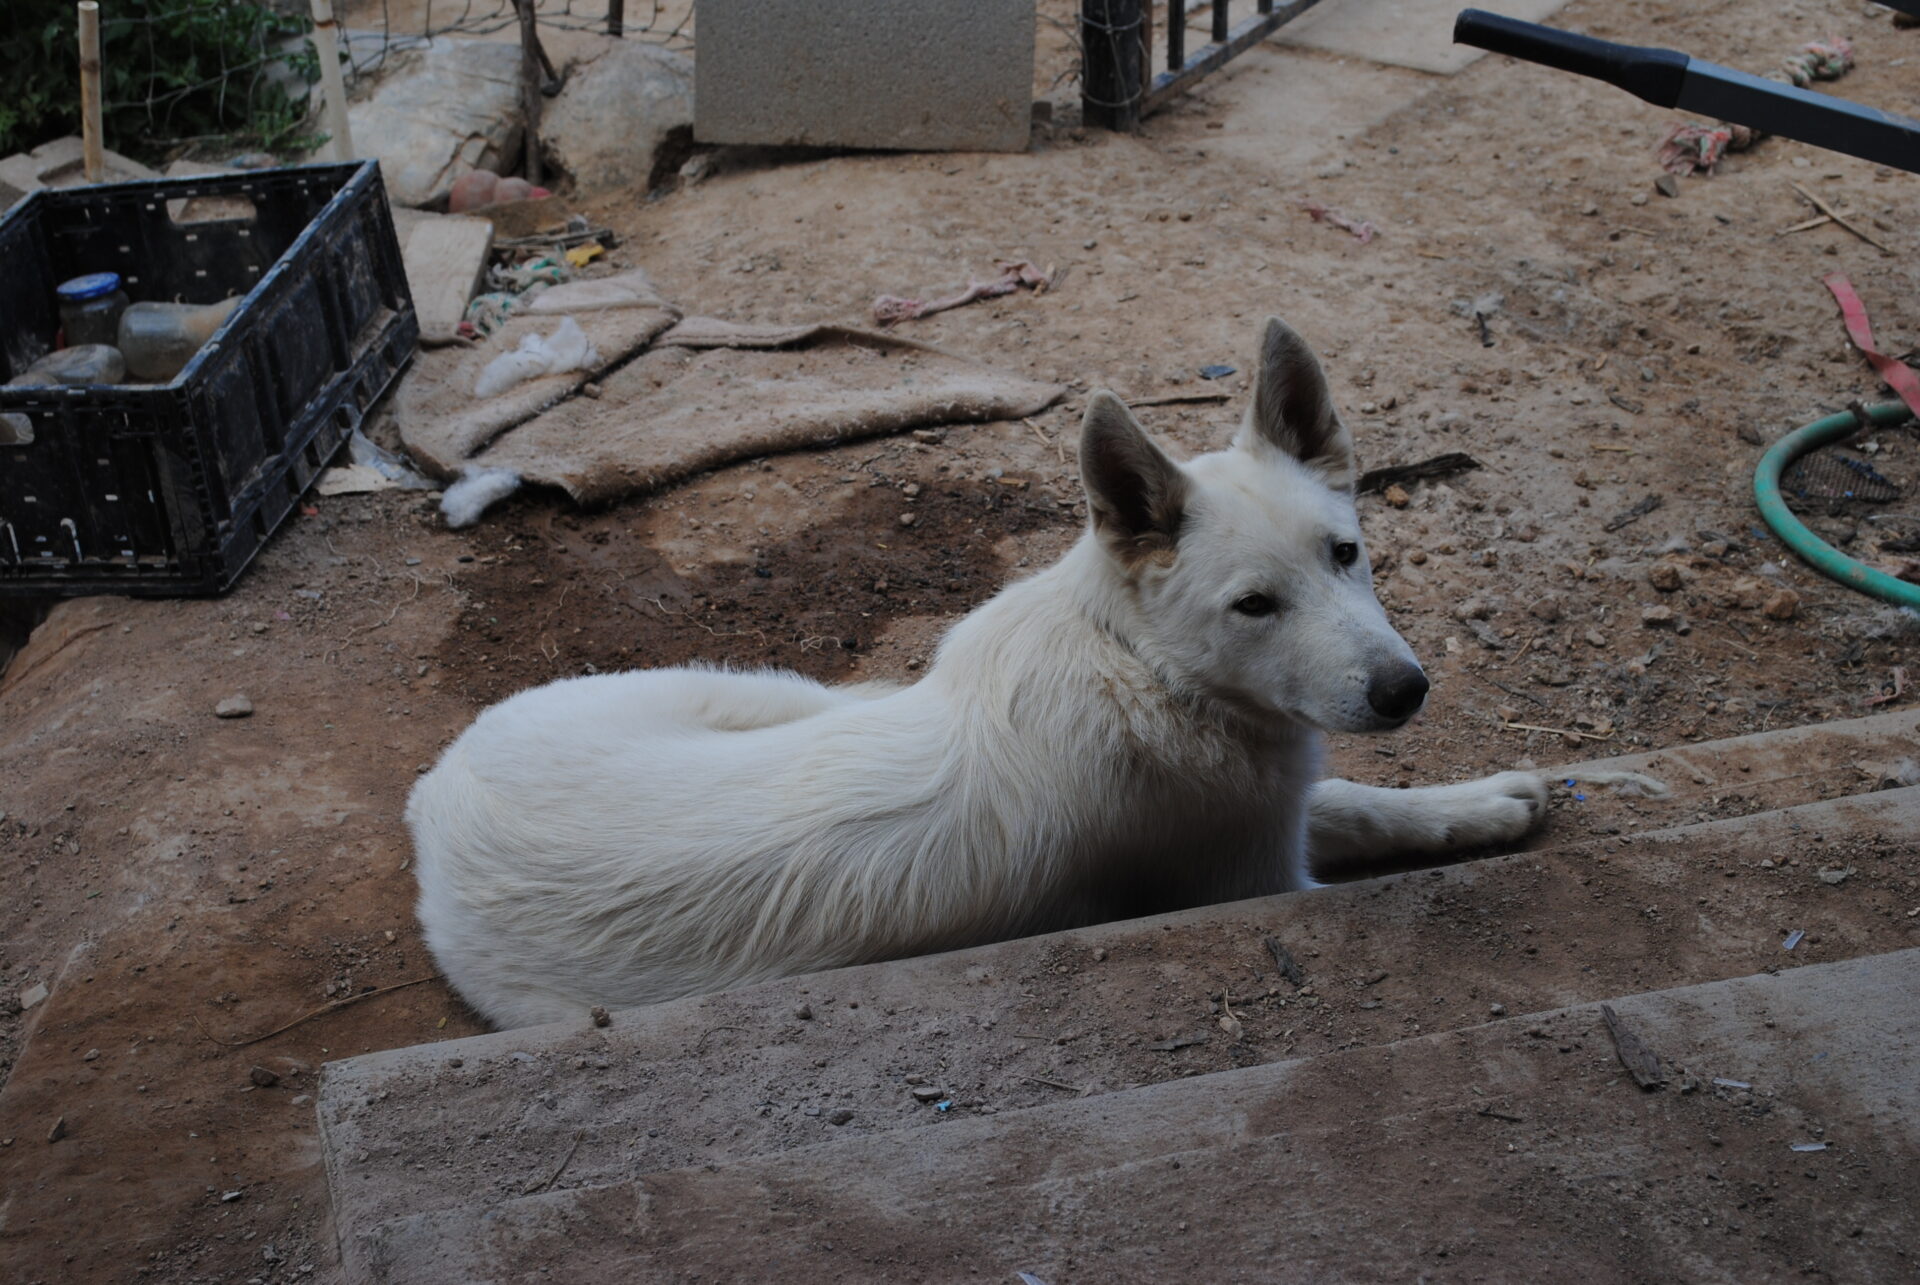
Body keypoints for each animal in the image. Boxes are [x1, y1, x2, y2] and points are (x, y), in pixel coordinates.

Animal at [408, 320, 1543, 1029]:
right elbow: (1349, 810)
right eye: (1253, 606)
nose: (1404, 690)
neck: (1141, 666)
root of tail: (435, 797)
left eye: (1346, 553)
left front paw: (1481, 802)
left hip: (753, 688)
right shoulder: (1255, 872)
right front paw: (1470, 814)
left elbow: (1356, 796)